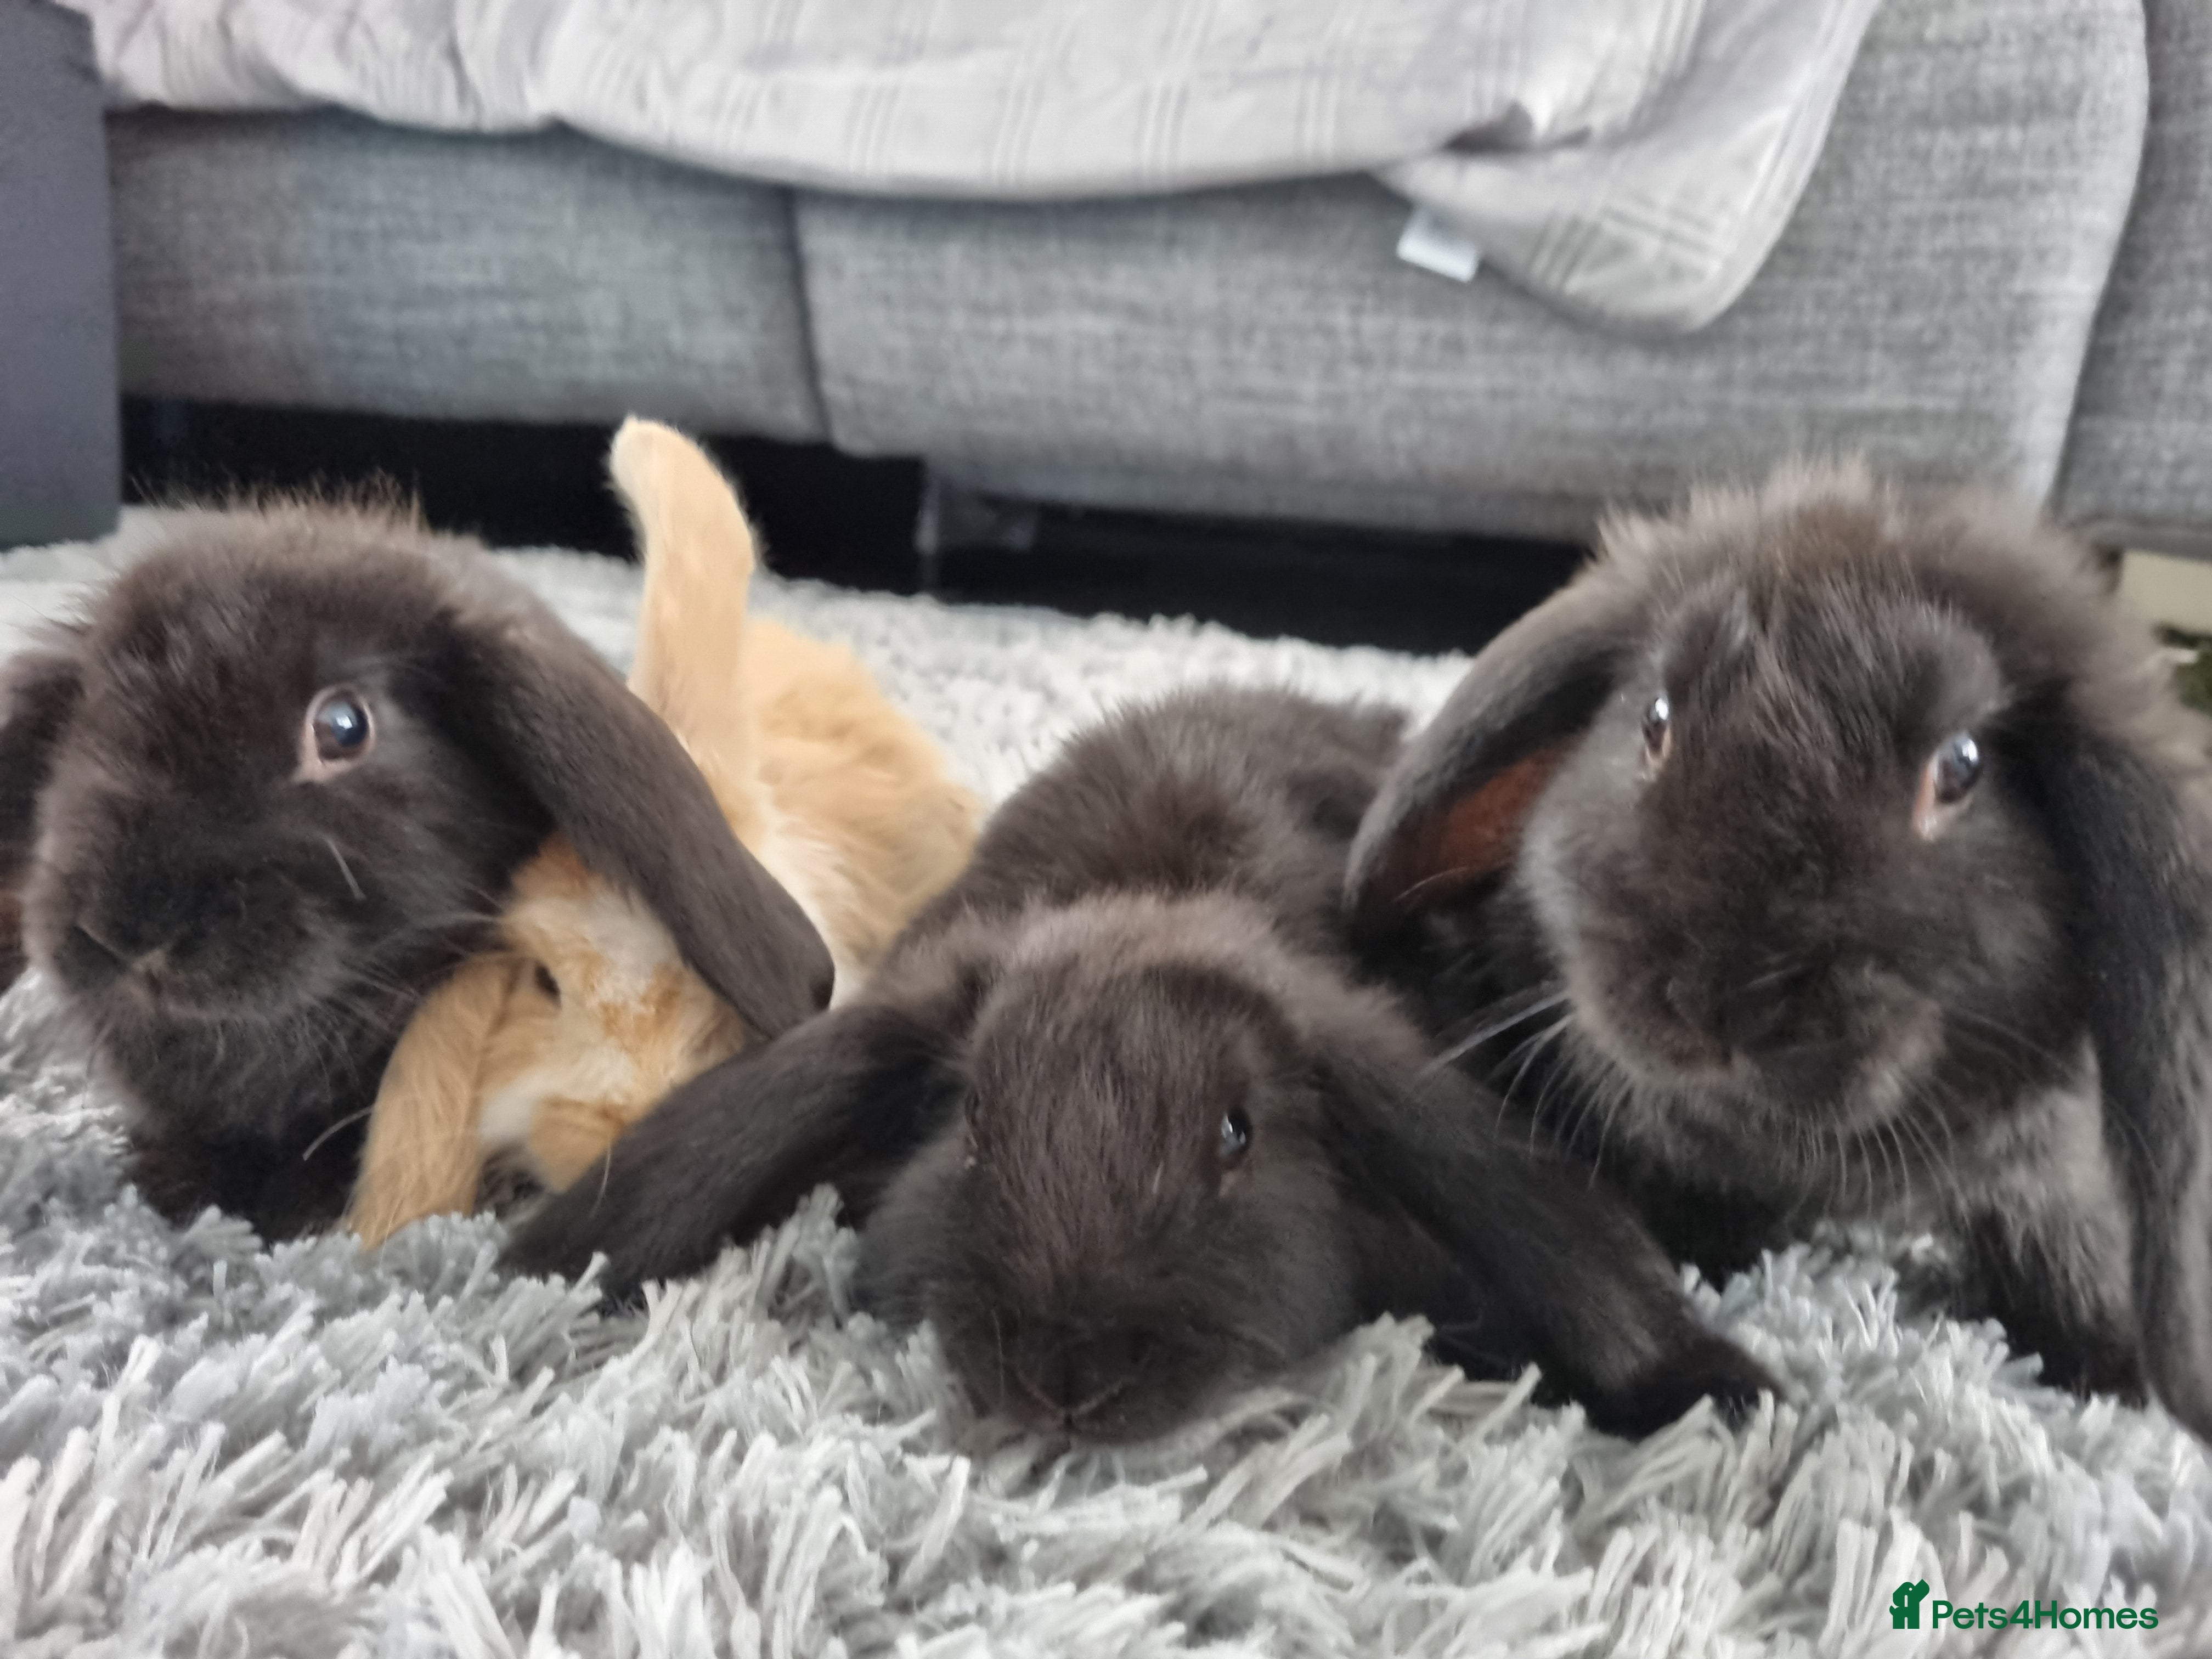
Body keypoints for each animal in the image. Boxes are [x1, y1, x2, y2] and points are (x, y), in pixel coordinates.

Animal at [1347, 458, 2212, 1441]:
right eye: (1654, 720)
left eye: (1959, 766)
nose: (1716, 1001)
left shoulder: (2046, 1156)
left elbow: (2061, 1234)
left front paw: (2112, 1368)